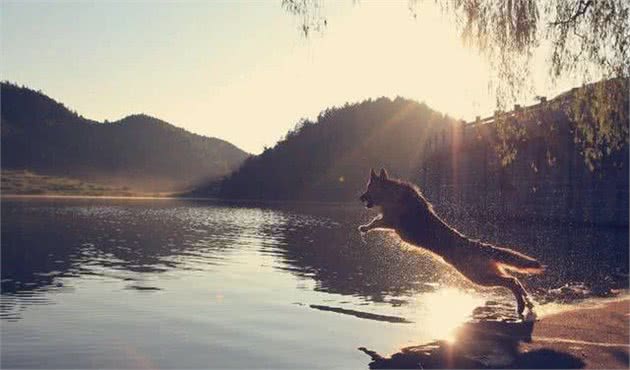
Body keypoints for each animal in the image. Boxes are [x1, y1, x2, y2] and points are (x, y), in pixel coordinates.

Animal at [360, 169, 544, 314]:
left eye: (368, 188)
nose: (360, 197)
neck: (392, 193)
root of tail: (475, 245)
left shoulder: (390, 221)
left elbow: (376, 222)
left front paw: (364, 228)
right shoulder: (389, 220)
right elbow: (376, 220)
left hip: (478, 276)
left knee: (511, 282)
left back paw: (521, 306)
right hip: (486, 272)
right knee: (515, 280)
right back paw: (528, 303)